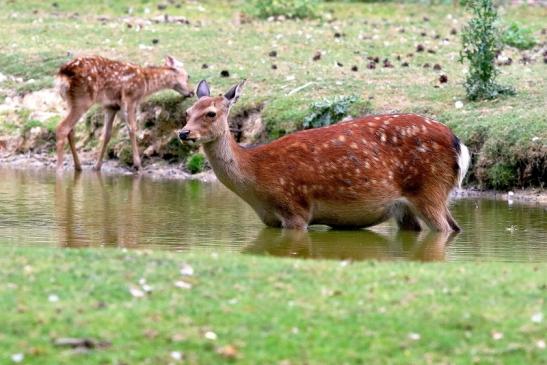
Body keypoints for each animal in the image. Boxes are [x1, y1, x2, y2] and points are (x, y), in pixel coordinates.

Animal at [55, 55, 193, 172]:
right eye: (188, 76)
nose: (191, 92)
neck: (146, 84)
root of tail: (63, 74)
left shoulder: (110, 106)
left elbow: (106, 134)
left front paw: (97, 166)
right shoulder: (130, 98)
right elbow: (132, 128)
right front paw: (138, 165)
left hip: (70, 100)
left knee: (70, 130)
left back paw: (78, 166)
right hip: (82, 98)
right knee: (62, 128)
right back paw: (60, 169)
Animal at [180, 81, 470, 232]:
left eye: (211, 113)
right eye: (187, 112)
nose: (184, 133)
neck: (255, 178)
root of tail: (460, 145)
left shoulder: (294, 207)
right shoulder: (271, 220)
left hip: (429, 189)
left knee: (445, 227)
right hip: (411, 206)